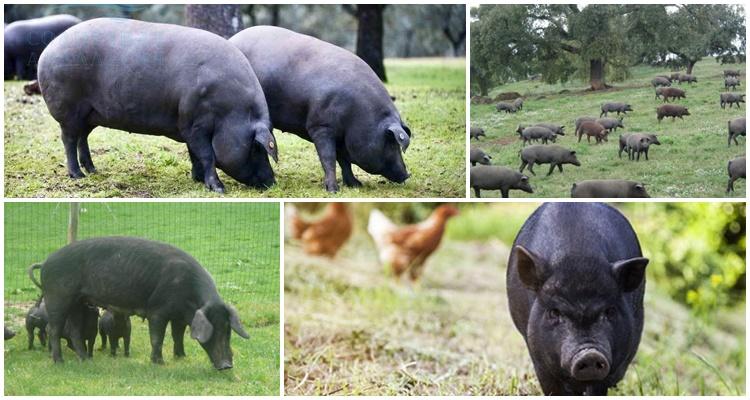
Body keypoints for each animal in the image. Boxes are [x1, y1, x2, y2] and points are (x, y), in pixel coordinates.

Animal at [39, 18, 280, 194]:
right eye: (256, 147)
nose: (272, 182)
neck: (230, 112)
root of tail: (48, 50)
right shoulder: (195, 124)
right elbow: (206, 155)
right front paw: (219, 189)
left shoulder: (187, 126)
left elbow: (194, 154)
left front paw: (197, 180)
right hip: (69, 111)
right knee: (69, 140)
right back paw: (77, 175)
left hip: (89, 115)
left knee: (83, 138)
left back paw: (93, 170)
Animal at [231, 26, 412, 192]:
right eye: (391, 142)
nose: (407, 174)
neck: (360, 113)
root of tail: (233, 38)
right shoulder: (321, 126)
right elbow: (329, 158)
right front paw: (333, 190)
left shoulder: (341, 136)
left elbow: (344, 160)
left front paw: (355, 185)